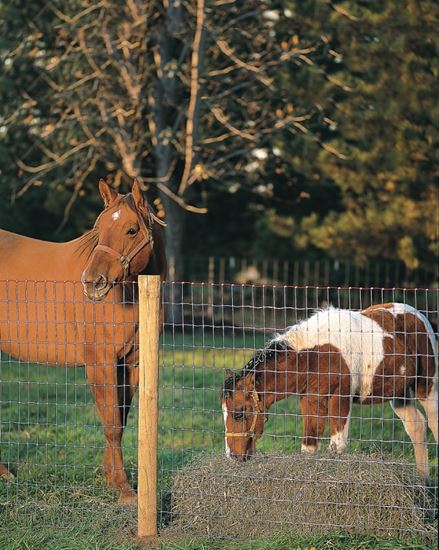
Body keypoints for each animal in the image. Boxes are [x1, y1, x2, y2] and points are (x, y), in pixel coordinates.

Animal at [0, 180, 165, 504]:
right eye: (98, 228)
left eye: (131, 230)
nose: (92, 282)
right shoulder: (100, 362)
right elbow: (111, 423)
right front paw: (124, 489)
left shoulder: (130, 363)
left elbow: (120, 420)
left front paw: (112, 479)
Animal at [225, 304, 438, 480]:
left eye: (239, 413)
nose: (232, 456)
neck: (314, 355)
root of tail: (419, 315)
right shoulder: (310, 399)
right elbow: (309, 446)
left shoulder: (340, 398)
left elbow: (337, 446)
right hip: (399, 393)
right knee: (416, 425)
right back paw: (423, 481)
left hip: (426, 386)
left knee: (433, 423)